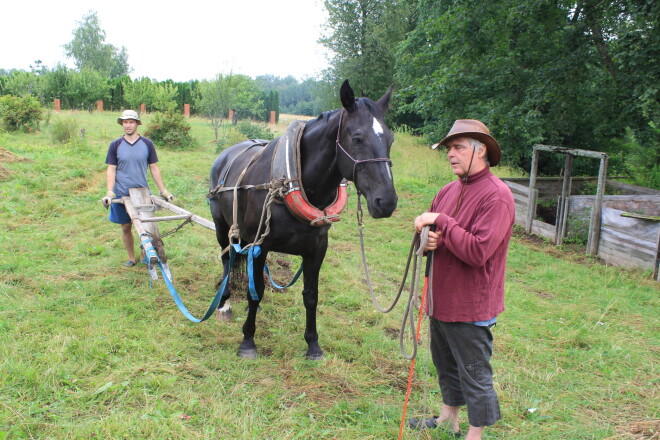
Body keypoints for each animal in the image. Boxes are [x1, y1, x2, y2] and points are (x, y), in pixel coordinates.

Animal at [209, 81, 398, 360]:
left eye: (390, 139)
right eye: (357, 138)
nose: (387, 201)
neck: (291, 181)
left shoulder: (316, 249)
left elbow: (311, 295)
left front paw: (313, 345)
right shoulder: (259, 245)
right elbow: (257, 292)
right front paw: (248, 341)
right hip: (223, 227)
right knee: (227, 260)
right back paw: (224, 305)